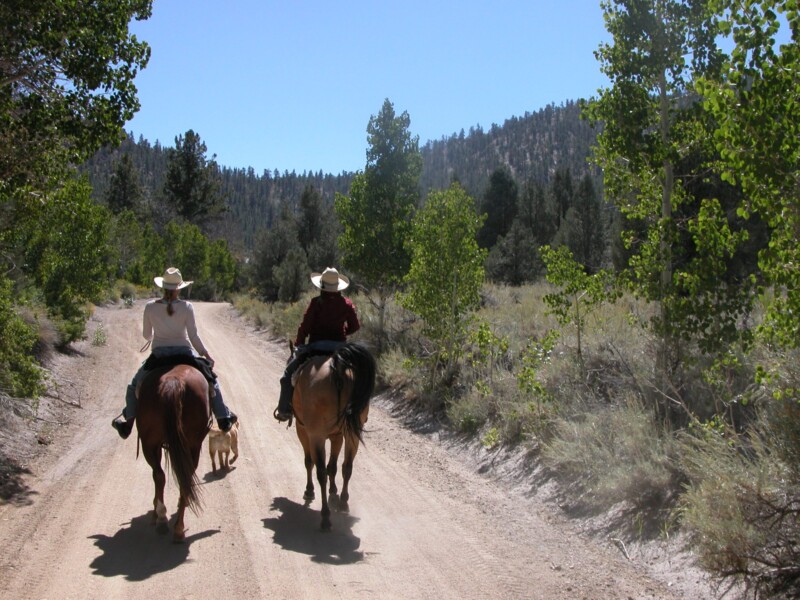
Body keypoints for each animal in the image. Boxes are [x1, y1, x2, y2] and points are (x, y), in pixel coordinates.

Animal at [135, 364, 211, 540]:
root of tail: (174, 382)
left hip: (149, 444)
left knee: (159, 475)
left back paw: (162, 519)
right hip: (192, 444)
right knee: (181, 477)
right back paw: (177, 527)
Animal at [290, 342, 378, 528]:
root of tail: (338, 369)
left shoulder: (303, 430)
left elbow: (310, 462)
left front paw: (310, 491)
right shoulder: (337, 436)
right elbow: (334, 466)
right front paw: (334, 493)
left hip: (316, 436)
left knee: (320, 472)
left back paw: (325, 517)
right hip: (352, 433)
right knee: (347, 467)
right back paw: (343, 502)